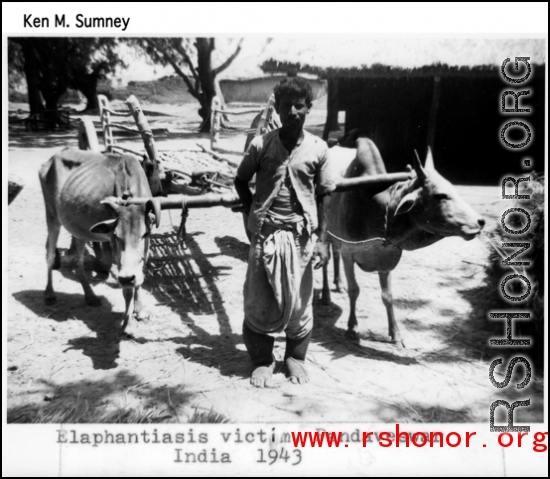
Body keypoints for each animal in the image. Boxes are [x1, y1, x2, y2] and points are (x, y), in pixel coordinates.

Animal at [326, 137, 486, 346]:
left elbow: (388, 297)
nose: (480, 222)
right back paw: (325, 295)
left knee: (333, 255)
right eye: (440, 195)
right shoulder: (348, 253)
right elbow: (354, 290)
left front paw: (395, 333)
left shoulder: (385, 259)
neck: (375, 210)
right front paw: (352, 327)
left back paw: (337, 283)